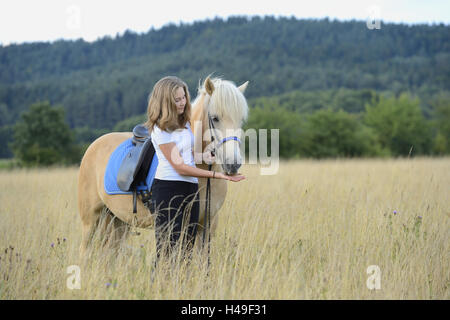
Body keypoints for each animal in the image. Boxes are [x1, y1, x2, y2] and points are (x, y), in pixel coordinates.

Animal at [76, 77, 248, 258]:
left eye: (240, 119)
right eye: (215, 118)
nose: (233, 164)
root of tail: (94, 145)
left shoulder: (208, 224)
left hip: (118, 221)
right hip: (91, 221)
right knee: (85, 251)